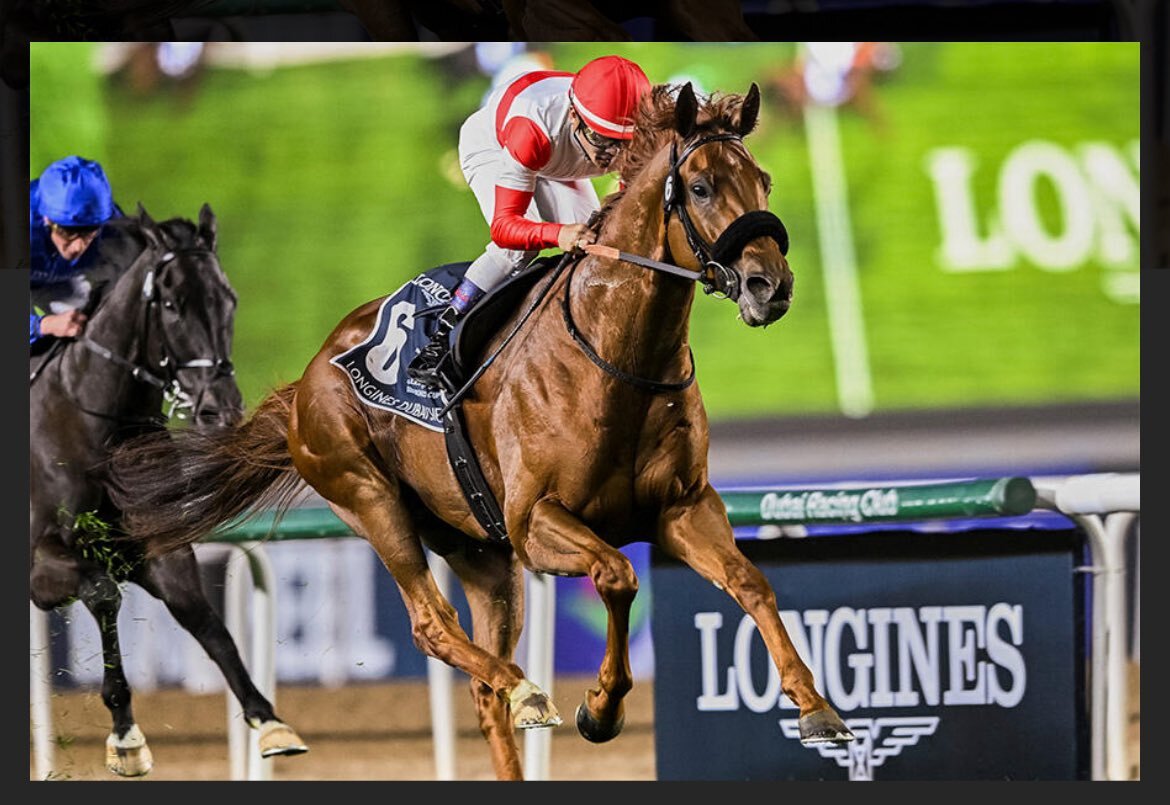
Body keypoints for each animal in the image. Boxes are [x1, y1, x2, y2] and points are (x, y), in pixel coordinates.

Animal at [29, 205, 307, 778]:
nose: (219, 407)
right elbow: (103, 594)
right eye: (174, 304)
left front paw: (268, 719)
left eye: (229, 299)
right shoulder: (40, 566)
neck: (93, 427)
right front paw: (125, 735)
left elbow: (207, 622)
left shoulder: (160, 547)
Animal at [105, 83, 854, 780]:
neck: (617, 358)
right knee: (433, 626)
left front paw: (817, 706)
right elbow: (615, 575)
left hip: (479, 551)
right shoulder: (535, 521)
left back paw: (514, 694)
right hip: (372, 499)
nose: (770, 284)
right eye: (700, 186)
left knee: (481, 685)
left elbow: (751, 582)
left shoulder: (683, 507)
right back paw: (526, 687)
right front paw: (601, 707)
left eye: (763, 181)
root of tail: (307, 381)